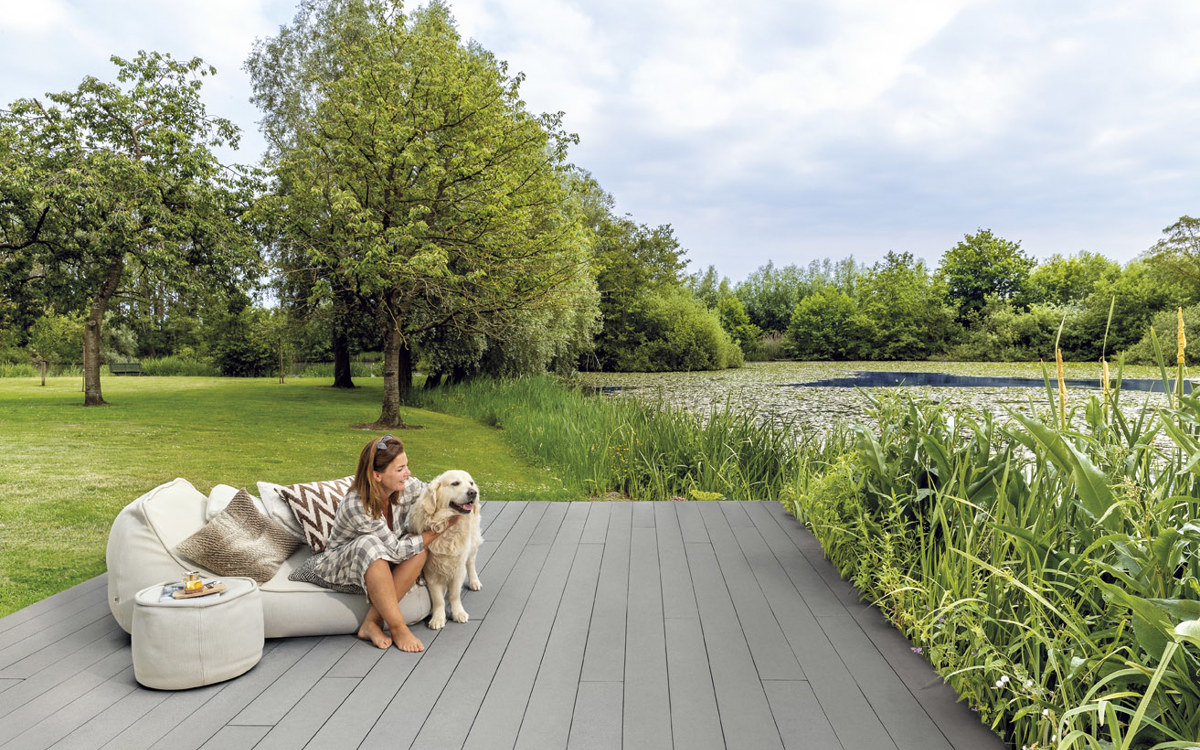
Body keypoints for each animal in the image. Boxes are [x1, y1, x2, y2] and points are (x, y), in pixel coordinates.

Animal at [408, 470, 482, 628]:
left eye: (471, 483)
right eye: (455, 483)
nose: (473, 492)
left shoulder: (458, 567)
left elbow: (454, 594)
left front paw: (458, 613)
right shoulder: (430, 570)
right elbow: (438, 598)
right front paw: (438, 618)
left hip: (472, 543)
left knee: (471, 562)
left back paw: (474, 582)